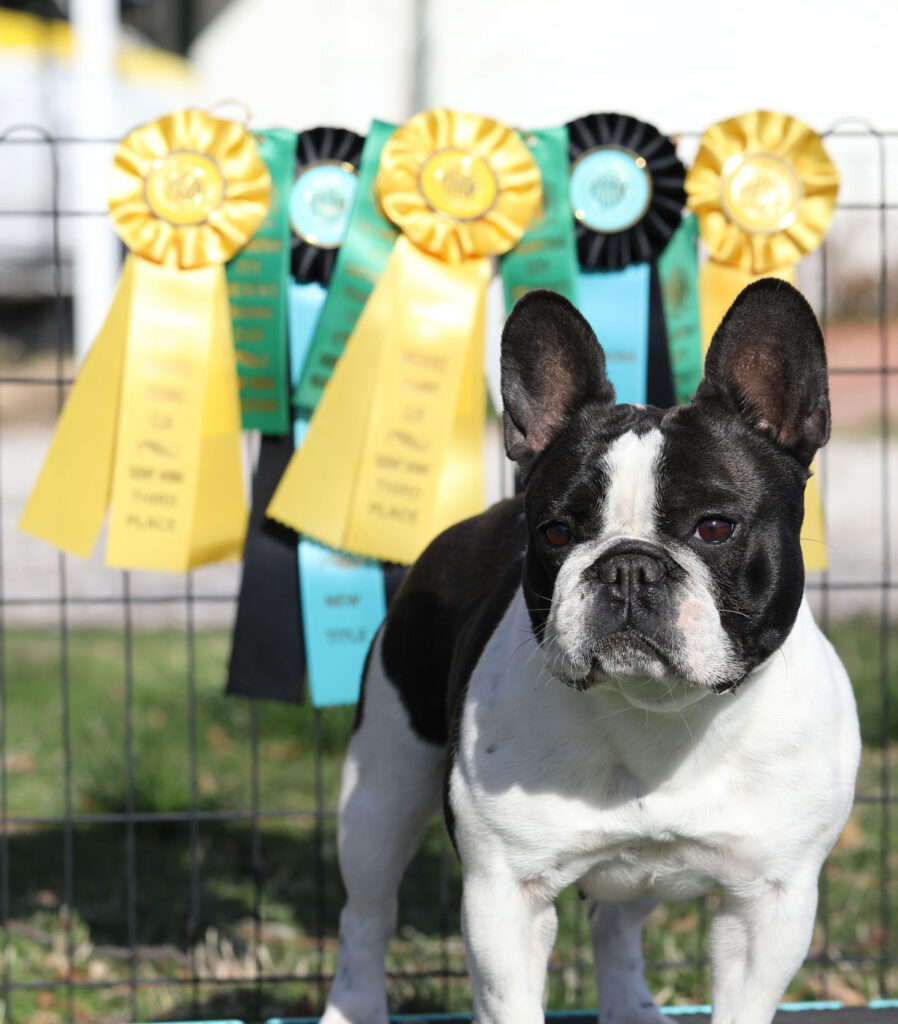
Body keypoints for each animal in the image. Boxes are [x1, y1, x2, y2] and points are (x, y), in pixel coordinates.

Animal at [319, 282, 860, 1024]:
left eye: (714, 527)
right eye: (555, 531)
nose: (628, 565)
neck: (657, 716)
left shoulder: (769, 903)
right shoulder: (504, 896)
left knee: (615, 925)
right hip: (380, 784)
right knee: (367, 915)